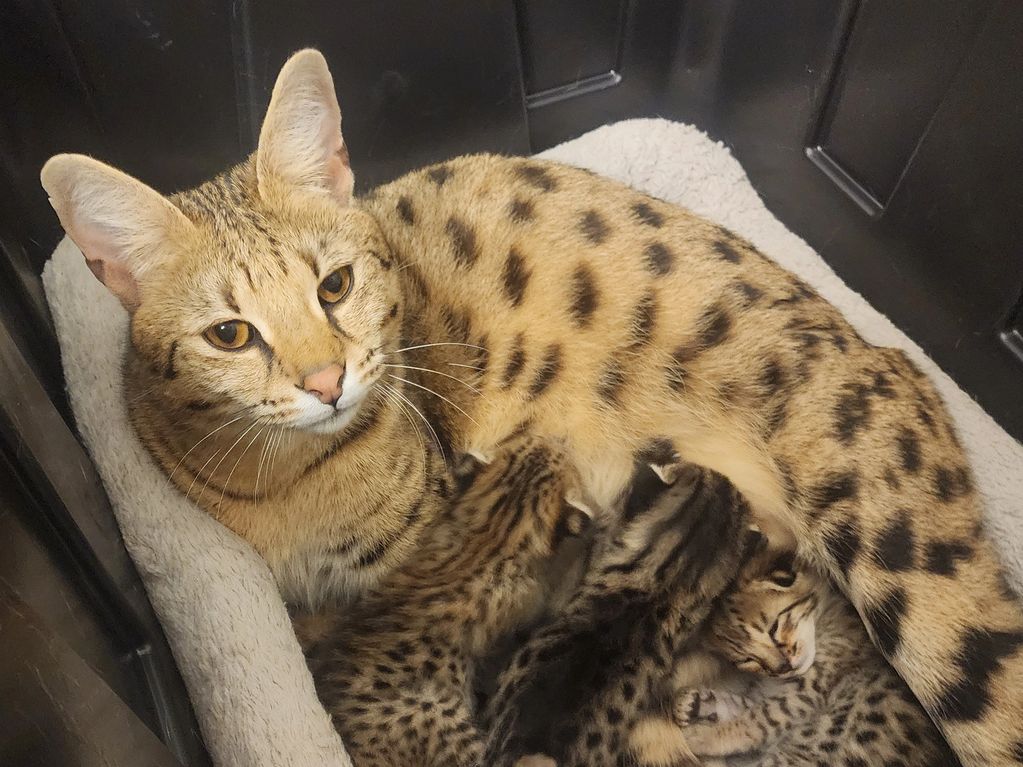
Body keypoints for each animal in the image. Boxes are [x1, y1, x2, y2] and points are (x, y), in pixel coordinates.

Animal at [39, 49, 1023, 767]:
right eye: (230, 334)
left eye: (336, 285)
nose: (326, 381)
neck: (292, 483)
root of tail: (893, 354)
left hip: (910, 572)